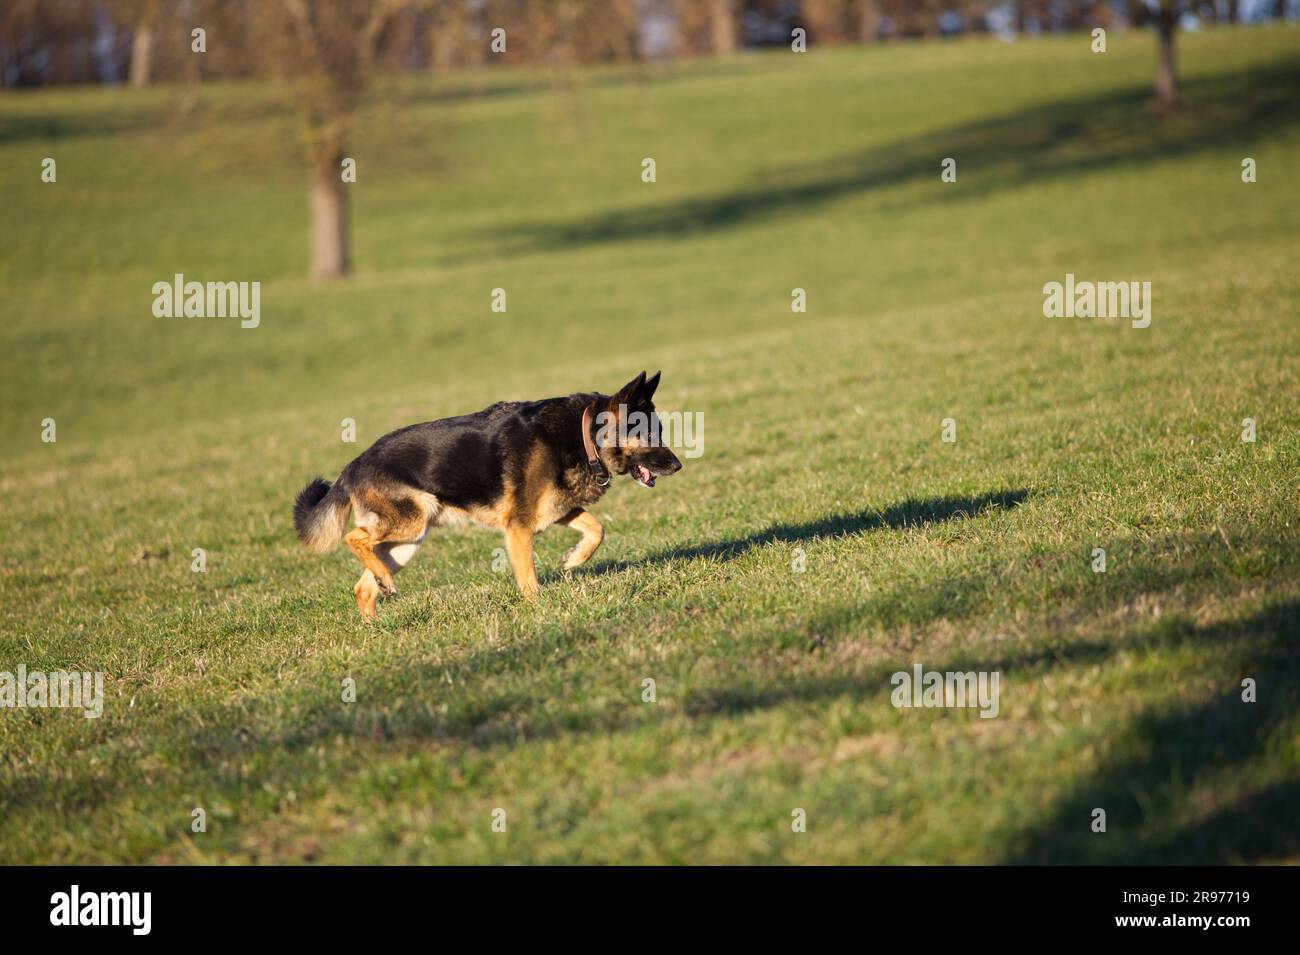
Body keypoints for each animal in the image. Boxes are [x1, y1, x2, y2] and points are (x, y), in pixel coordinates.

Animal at [293, 374, 681, 621]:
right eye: (650, 434)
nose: (678, 466)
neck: (584, 434)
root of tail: (352, 466)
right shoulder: (519, 527)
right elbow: (529, 579)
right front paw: (539, 610)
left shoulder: (558, 509)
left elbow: (597, 530)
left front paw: (573, 559)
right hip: (410, 521)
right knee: (353, 538)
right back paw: (381, 587)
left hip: (406, 543)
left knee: (363, 587)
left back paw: (378, 623)